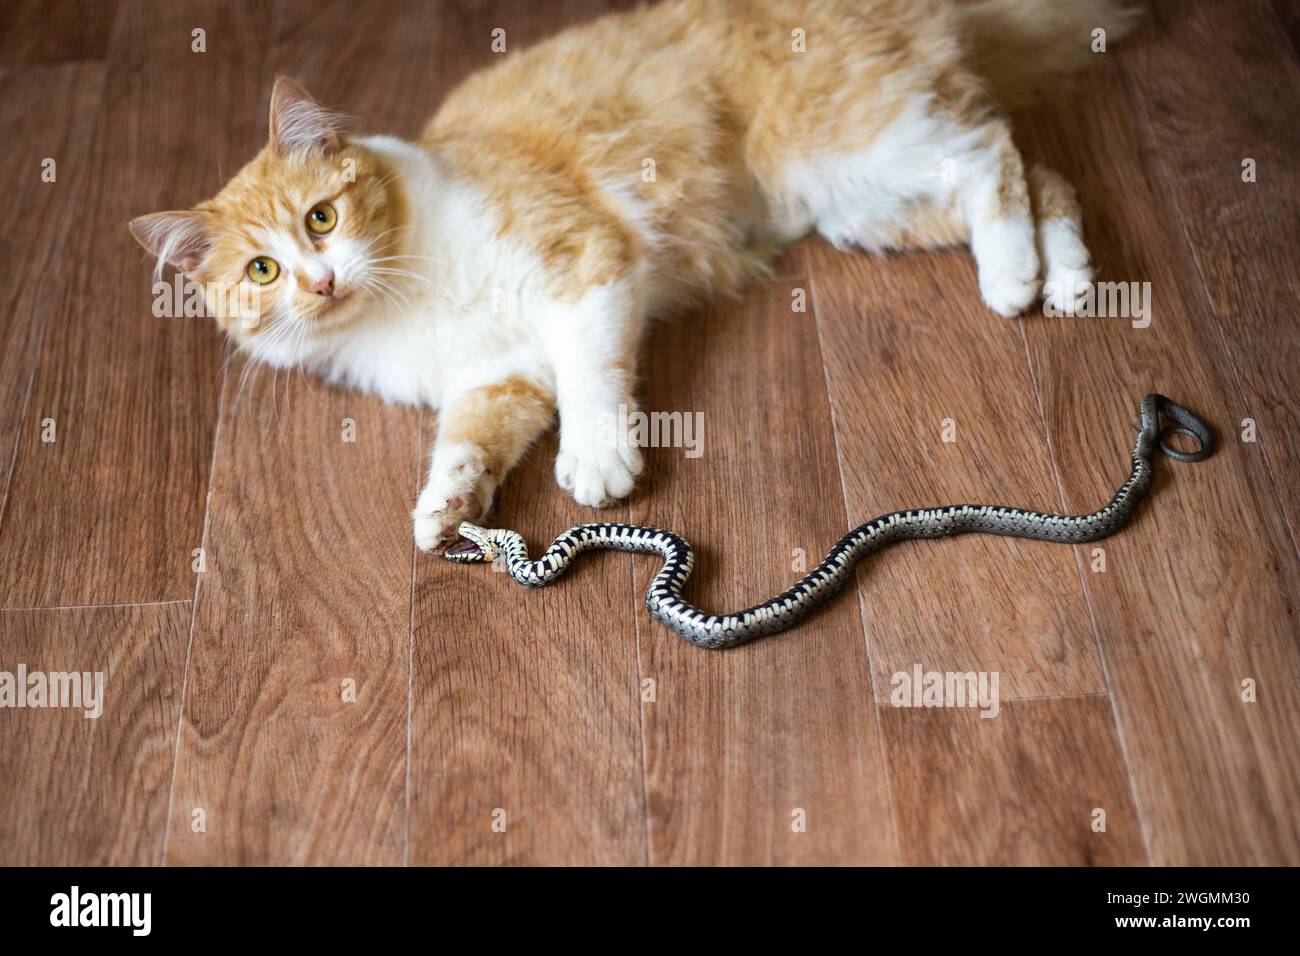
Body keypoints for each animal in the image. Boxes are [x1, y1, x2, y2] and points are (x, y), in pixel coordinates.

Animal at [126, 0, 1133, 548]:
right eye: (263, 269)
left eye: (321, 219)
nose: (319, 282)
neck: (402, 294)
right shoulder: (496, 378)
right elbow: (467, 444)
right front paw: (446, 510)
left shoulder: (585, 268)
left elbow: (593, 379)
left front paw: (598, 461)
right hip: (864, 206)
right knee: (1037, 170)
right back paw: (1060, 277)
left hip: (859, 146)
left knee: (993, 152)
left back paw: (1015, 277)